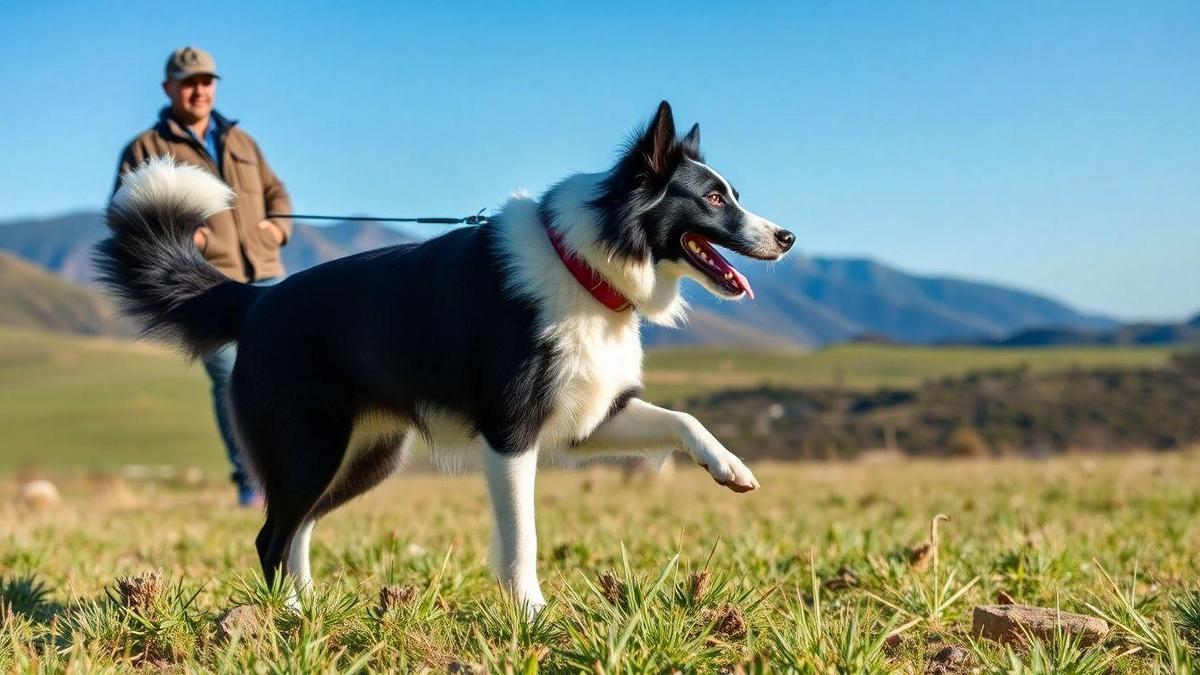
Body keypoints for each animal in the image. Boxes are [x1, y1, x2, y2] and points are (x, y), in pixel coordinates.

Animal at [98, 99, 792, 610]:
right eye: (713, 199)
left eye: (732, 193)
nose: (787, 236)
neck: (584, 263)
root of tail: (258, 301)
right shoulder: (510, 431)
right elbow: (522, 538)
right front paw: (531, 615)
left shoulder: (588, 418)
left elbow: (682, 419)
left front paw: (729, 466)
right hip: (307, 445)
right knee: (272, 534)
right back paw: (287, 619)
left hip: (363, 456)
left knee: (300, 527)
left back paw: (311, 608)